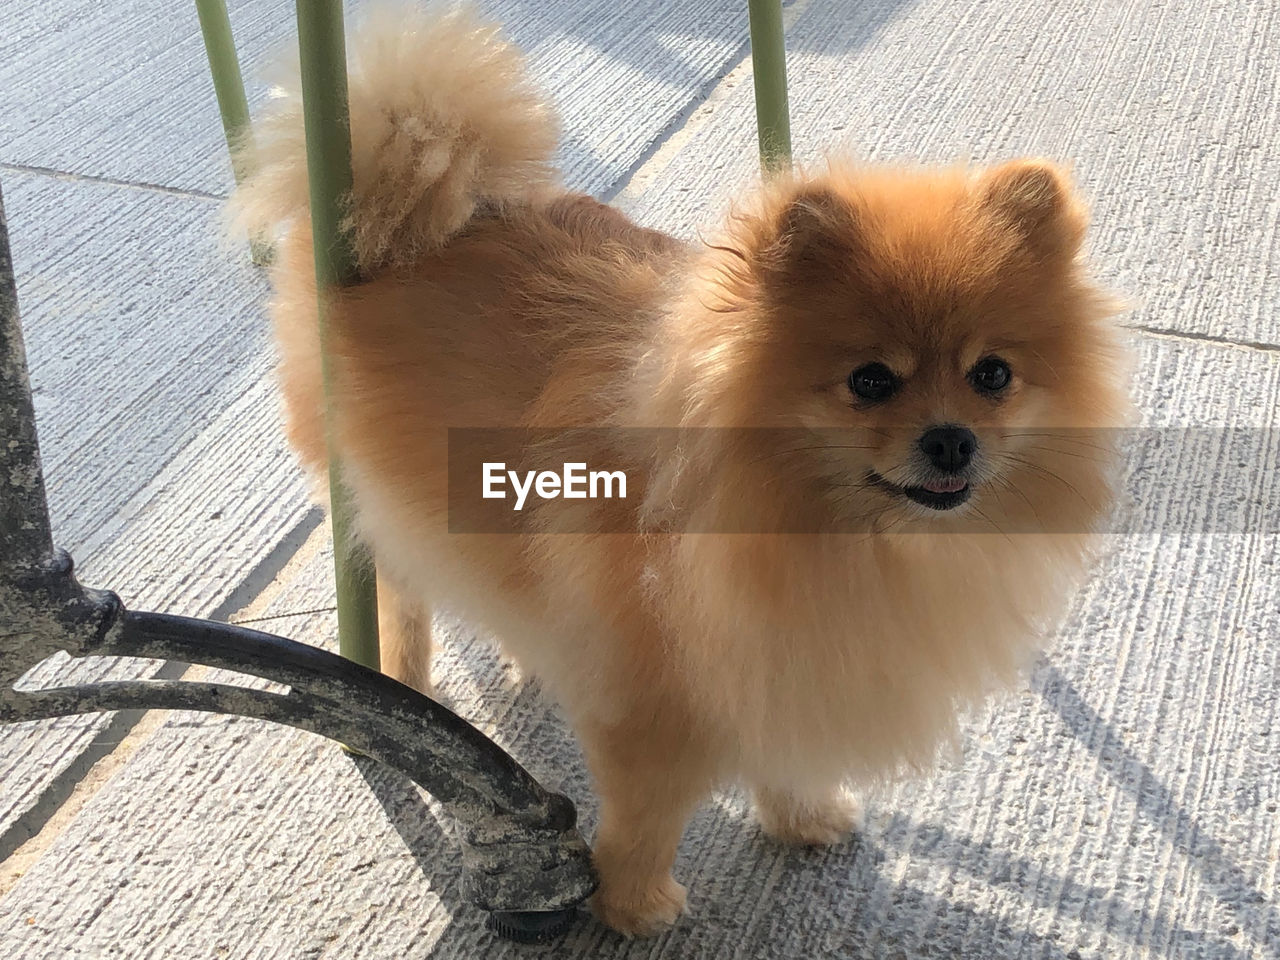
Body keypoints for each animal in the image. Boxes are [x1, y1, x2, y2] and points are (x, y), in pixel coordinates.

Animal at [232, 0, 1131, 931]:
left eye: (992, 375)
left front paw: (801, 820)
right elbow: (648, 811)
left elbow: (781, 753)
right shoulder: (653, 700)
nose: (952, 438)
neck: (831, 535)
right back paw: (400, 684)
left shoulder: (778, 664)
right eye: (870, 382)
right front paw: (632, 905)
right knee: (402, 591)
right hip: (368, 490)